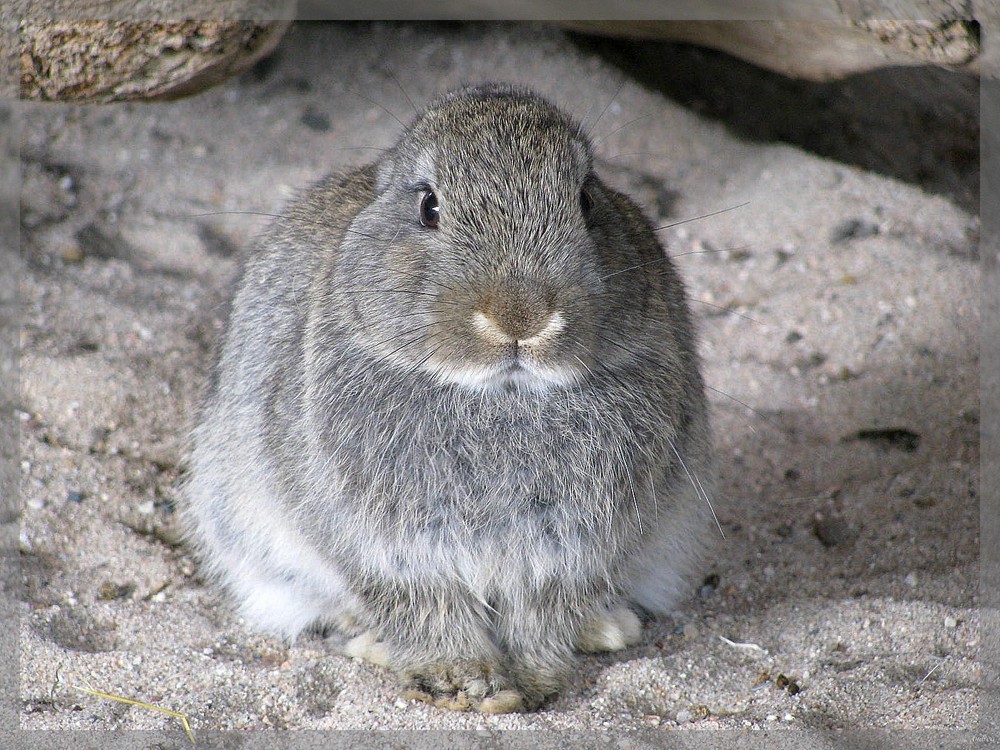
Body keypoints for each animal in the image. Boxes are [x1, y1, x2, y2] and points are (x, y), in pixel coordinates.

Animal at [184, 83, 716, 716]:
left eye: (586, 200)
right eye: (429, 207)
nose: (521, 318)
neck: (500, 396)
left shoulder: (569, 551)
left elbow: (541, 620)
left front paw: (532, 685)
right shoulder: (393, 550)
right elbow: (429, 612)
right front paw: (466, 683)